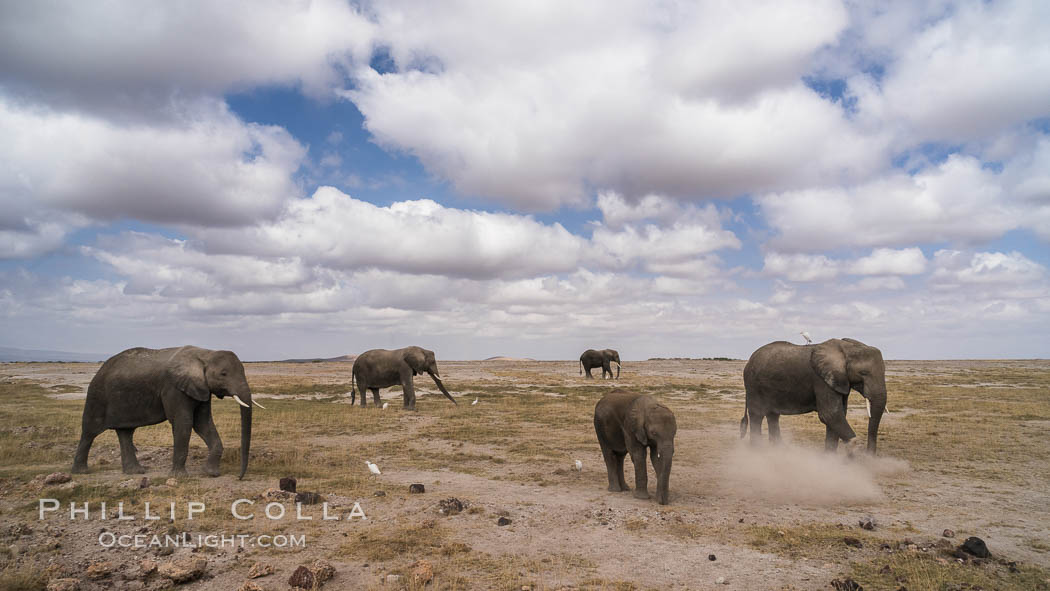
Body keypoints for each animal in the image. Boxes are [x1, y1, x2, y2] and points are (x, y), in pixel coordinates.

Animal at [72, 348, 260, 478]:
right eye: (223, 373)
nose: (239, 477)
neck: (205, 353)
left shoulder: (201, 389)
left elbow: (202, 423)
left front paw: (210, 473)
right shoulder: (174, 388)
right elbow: (184, 422)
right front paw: (180, 477)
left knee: (126, 432)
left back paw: (135, 472)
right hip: (96, 396)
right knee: (89, 432)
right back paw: (81, 472)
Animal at [739, 338, 886, 457]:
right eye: (863, 373)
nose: (869, 455)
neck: (847, 348)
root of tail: (749, 360)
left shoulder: (839, 381)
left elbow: (839, 414)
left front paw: (830, 458)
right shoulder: (821, 380)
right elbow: (830, 414)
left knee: (773, 415)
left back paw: (779, 449)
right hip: (753, 385)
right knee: (757, 414)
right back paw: (758, 450)